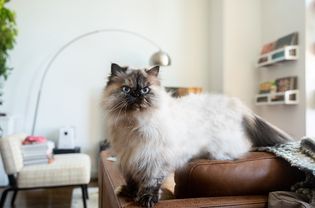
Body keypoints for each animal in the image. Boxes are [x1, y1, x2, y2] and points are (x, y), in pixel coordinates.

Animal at [102, 62, 292, 207]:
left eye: (145, 90)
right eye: (126, 90)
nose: (137, 95)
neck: (133, 124)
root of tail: (232, 102)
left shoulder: (153, 159)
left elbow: (150, 183)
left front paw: (146, 199)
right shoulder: (128, 159)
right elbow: (132, 180)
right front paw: (128, 193)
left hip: (221, 149)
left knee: (244, 148)